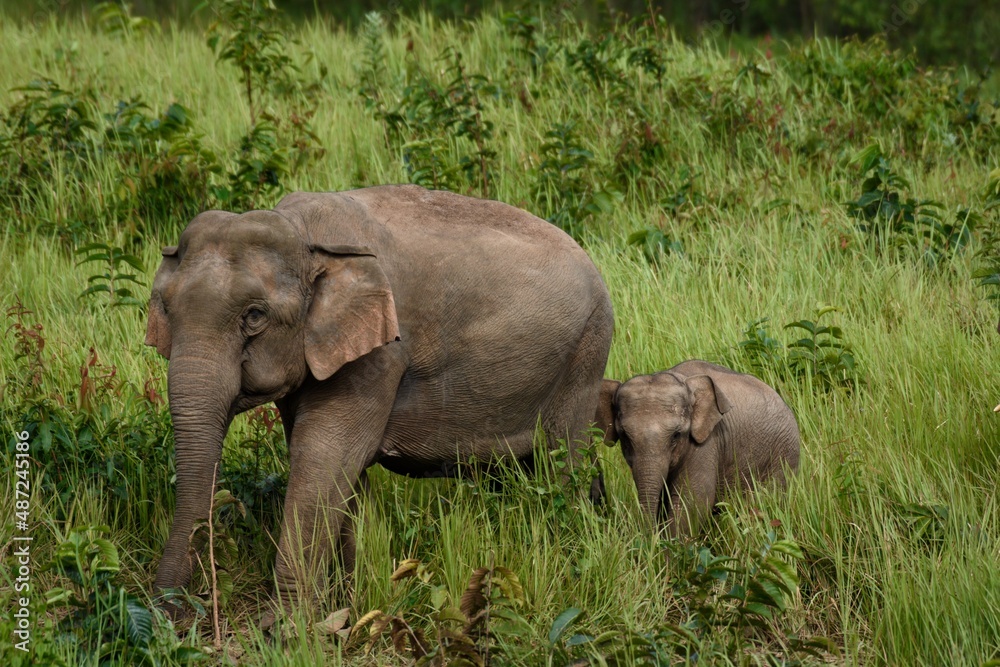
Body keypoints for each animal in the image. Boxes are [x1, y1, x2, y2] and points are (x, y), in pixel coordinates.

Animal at [145, 185, 614, 611]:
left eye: (255, 316)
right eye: (165, 308)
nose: (167, 610)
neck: (306, 235)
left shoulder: (381, 353)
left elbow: (323, 454)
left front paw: (287, 627)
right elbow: (337, 465)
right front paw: (348, 603)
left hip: (586, 350)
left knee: (562, 460)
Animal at [594, 360, 799, 535]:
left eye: (676, 435)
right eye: (625, 437)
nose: (650, 539)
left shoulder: (707, 442)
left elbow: (692, 502)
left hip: (784, 456)